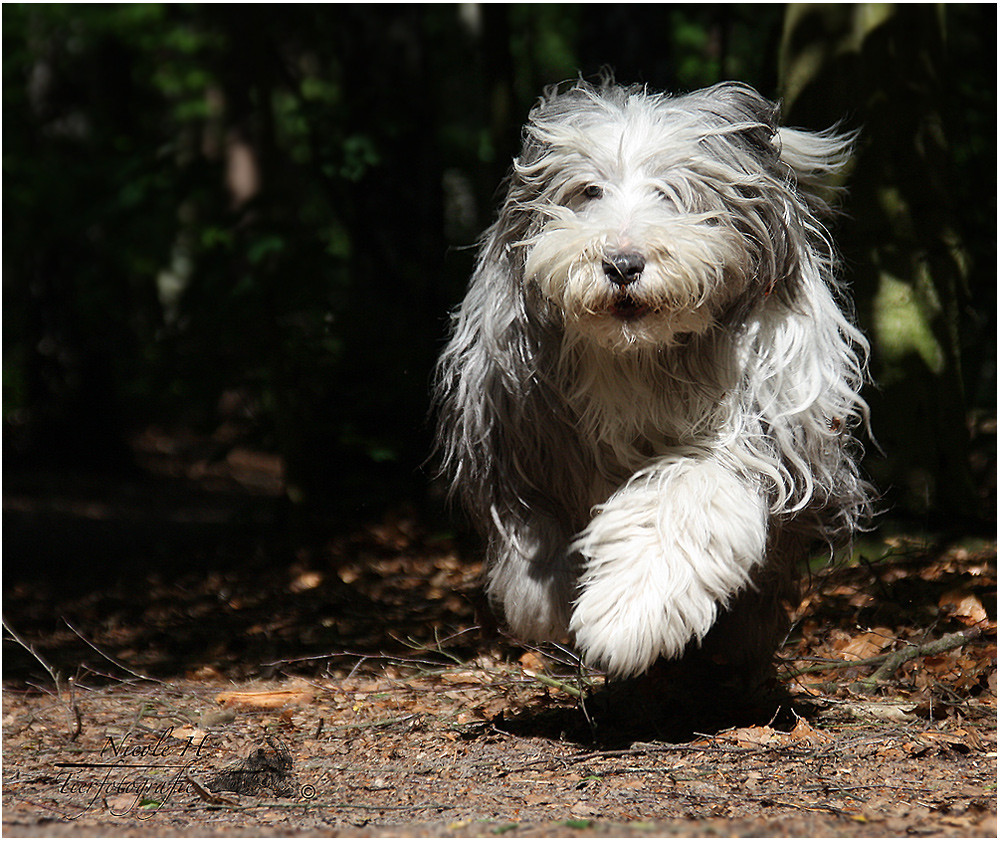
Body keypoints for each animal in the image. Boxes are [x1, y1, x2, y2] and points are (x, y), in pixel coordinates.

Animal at [434, 80, 872, 696]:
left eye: (673, 191)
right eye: (589, 190)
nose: (622, 263)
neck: (639, 354)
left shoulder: (760, 424)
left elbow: (683, 496)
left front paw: (626, 617)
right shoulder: (516, 420)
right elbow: (535, 526)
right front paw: (544, 599)